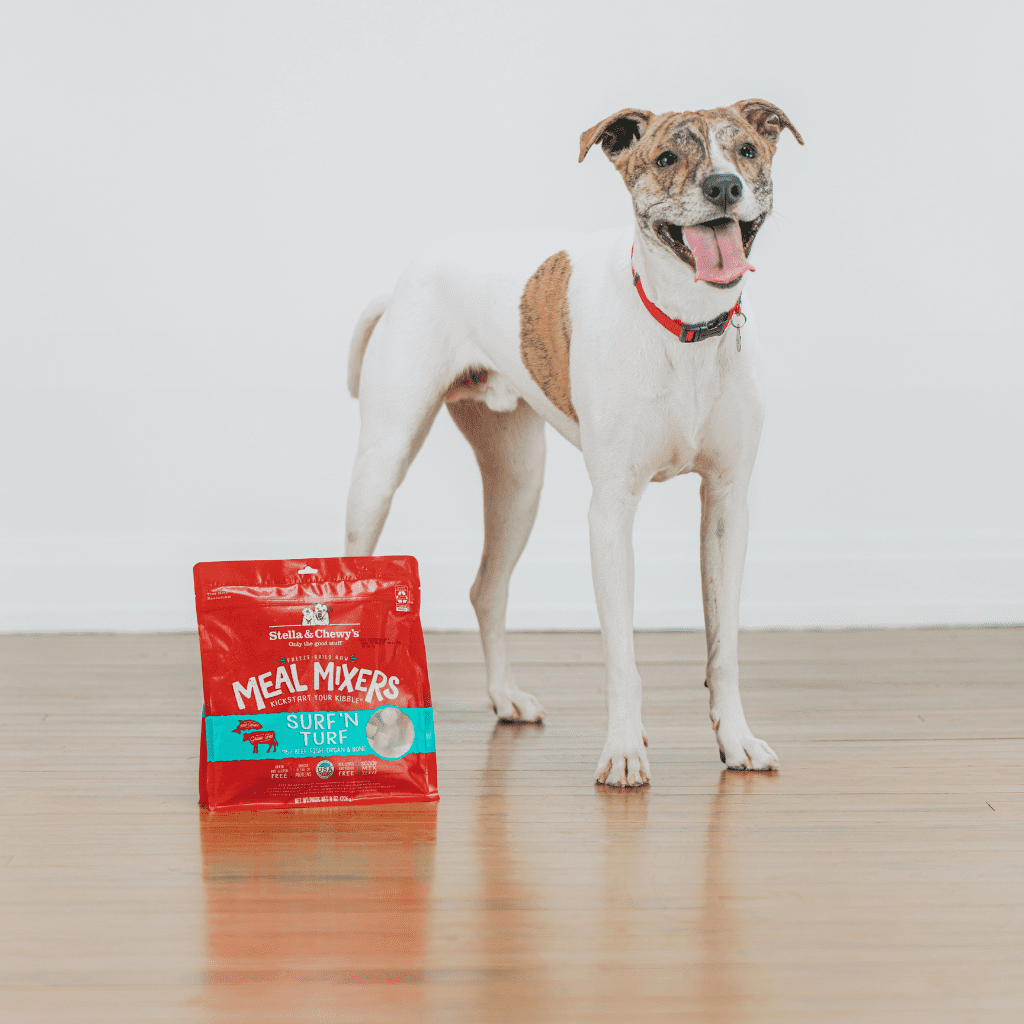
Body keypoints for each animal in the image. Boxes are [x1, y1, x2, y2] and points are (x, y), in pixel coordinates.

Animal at [348, 99, 802, 786]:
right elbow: (621, 652)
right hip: (382, 463)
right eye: (666, 158)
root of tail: (404, 280)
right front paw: (623, 749)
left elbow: (723, 646)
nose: (724, 187)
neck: (684, 325)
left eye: (746, 150)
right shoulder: (610, 511)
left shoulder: (727, 507)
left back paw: (506, 697)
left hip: (519, 481)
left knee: (487, 588)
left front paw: (737, 740)